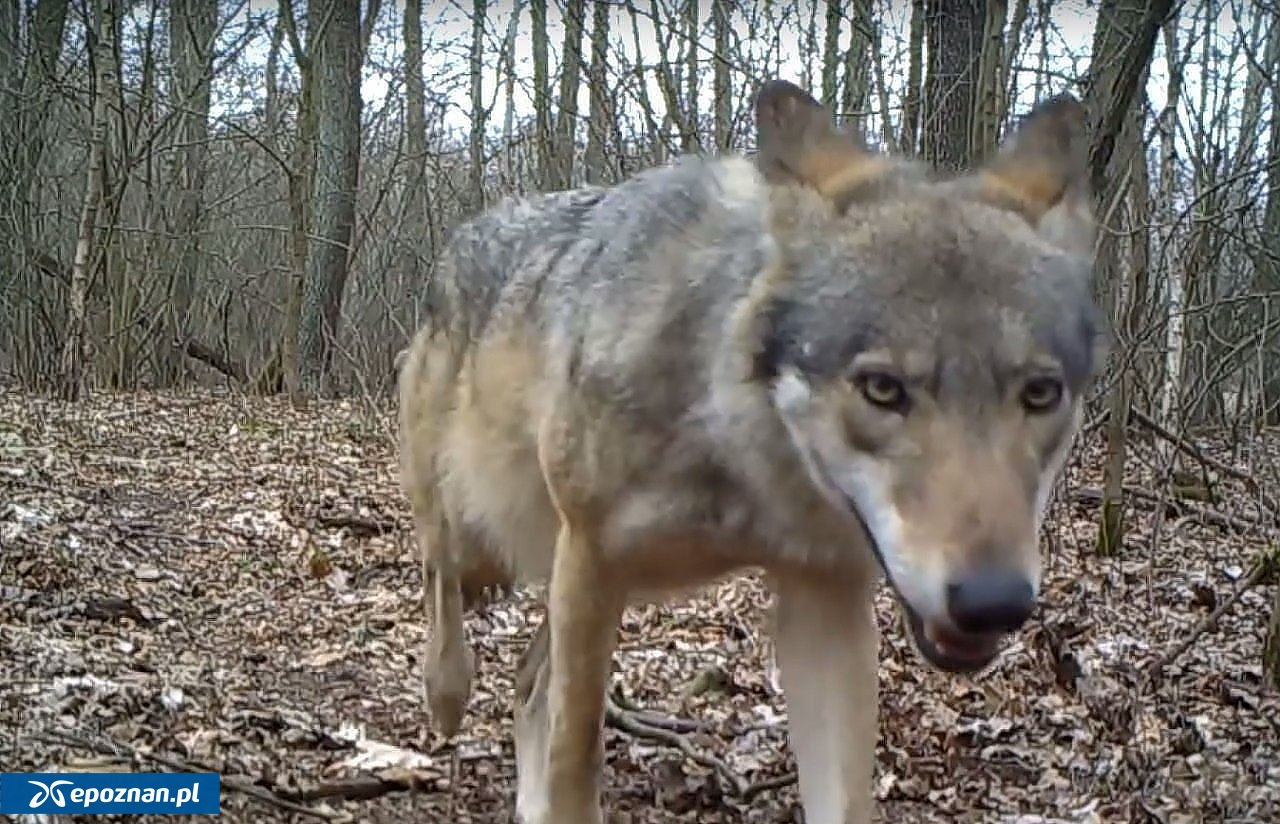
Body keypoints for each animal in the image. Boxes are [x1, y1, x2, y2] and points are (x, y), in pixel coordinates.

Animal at [396, 79, 1100, 824]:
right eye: (883, 389)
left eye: (1040, 393)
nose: (995, 601)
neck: (747, 465)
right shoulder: (590, 556)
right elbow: (575, 761)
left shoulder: (824, 595)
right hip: (485, 534)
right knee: (443, 582)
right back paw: (444, 692)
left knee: (530, 684)